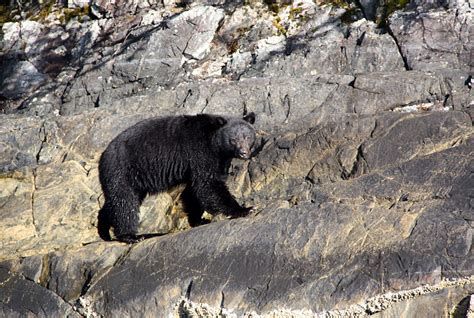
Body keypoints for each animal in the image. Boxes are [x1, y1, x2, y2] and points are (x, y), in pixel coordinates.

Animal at [96, 113, 258, 242]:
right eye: (234, 139)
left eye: (248, 137)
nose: (243, 153)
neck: (214, 143)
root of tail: (104, 154)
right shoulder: (200, 151)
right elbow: (208, 184)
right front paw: (244, 209)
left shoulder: (217, 159)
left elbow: (194, 190)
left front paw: (199, 219)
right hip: (122, 169)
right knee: (124, 201)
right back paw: (130, 236)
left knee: (116, 201)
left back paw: (104, 229)